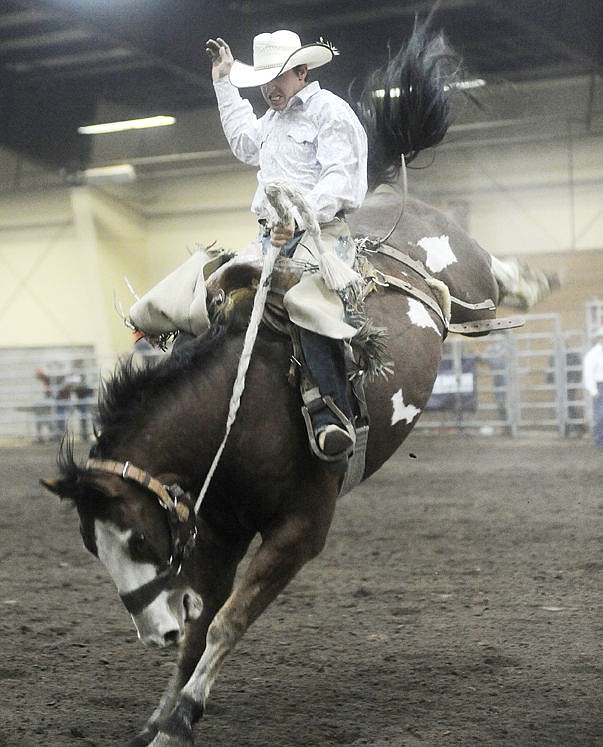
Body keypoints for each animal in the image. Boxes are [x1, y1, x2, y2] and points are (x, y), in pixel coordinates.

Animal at [40, 21, 556, 747]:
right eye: (93, 546)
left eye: (137, 538)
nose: (153, 632)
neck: (238, 412)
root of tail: (391, 202)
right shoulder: (217, 533)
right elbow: (202, 626)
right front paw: (162, 717)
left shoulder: (300, 530)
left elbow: (226, 622)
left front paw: (184, 712)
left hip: (470, 277)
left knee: (496, 277)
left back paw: (535, 279)